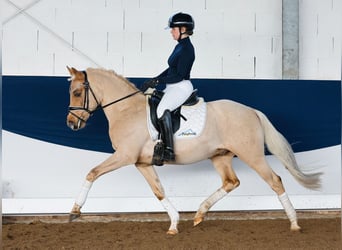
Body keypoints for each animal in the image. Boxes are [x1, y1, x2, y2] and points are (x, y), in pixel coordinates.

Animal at [66, 66, 320, 234]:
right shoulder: (142, 163)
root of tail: (251, 111)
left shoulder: (124, 156)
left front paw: (75, 210)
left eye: (77, 93)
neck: (127, 110)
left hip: (252, 155)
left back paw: (294, 223)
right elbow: (159, 191)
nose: (71, 124)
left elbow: (92, 172)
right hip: (220, 156)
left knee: (275, 180)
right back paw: (199, 214)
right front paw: (174, 223)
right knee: (231, 182)